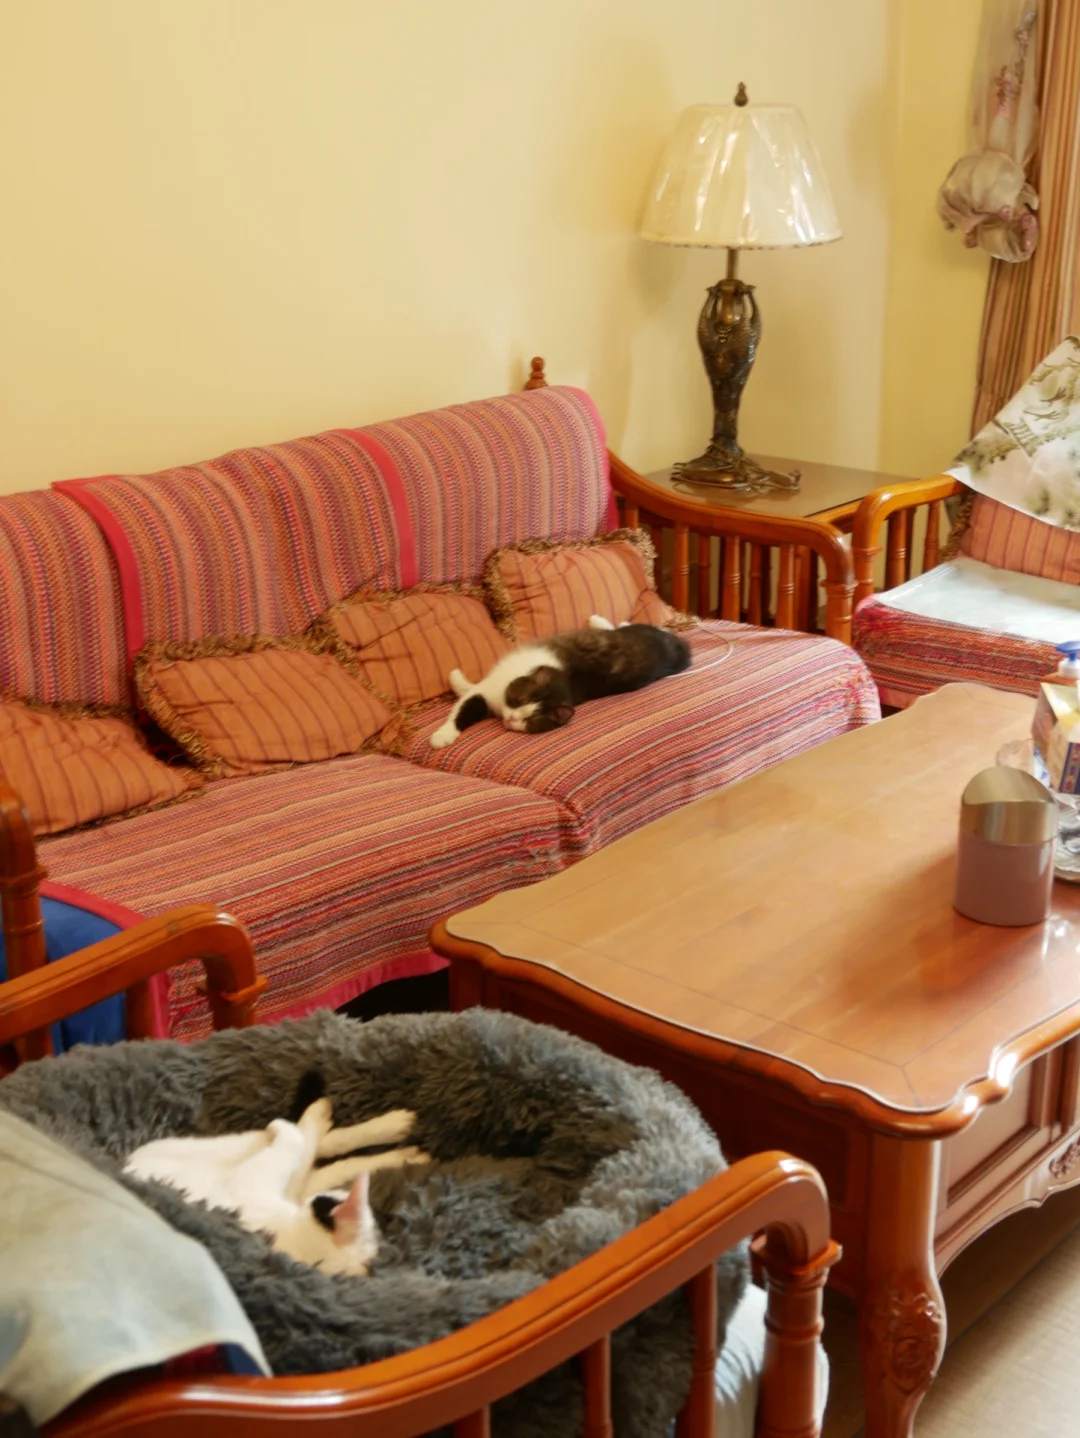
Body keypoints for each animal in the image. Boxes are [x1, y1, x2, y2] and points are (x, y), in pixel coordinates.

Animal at [429, 615, 692, 750]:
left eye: (531, 720)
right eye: (519, 700)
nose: (512, 719)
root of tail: (679, 650)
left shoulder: (489, 688)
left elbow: (466, 702)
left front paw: (441, 736)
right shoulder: (492, 688)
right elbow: (464, 703)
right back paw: (596, 620)